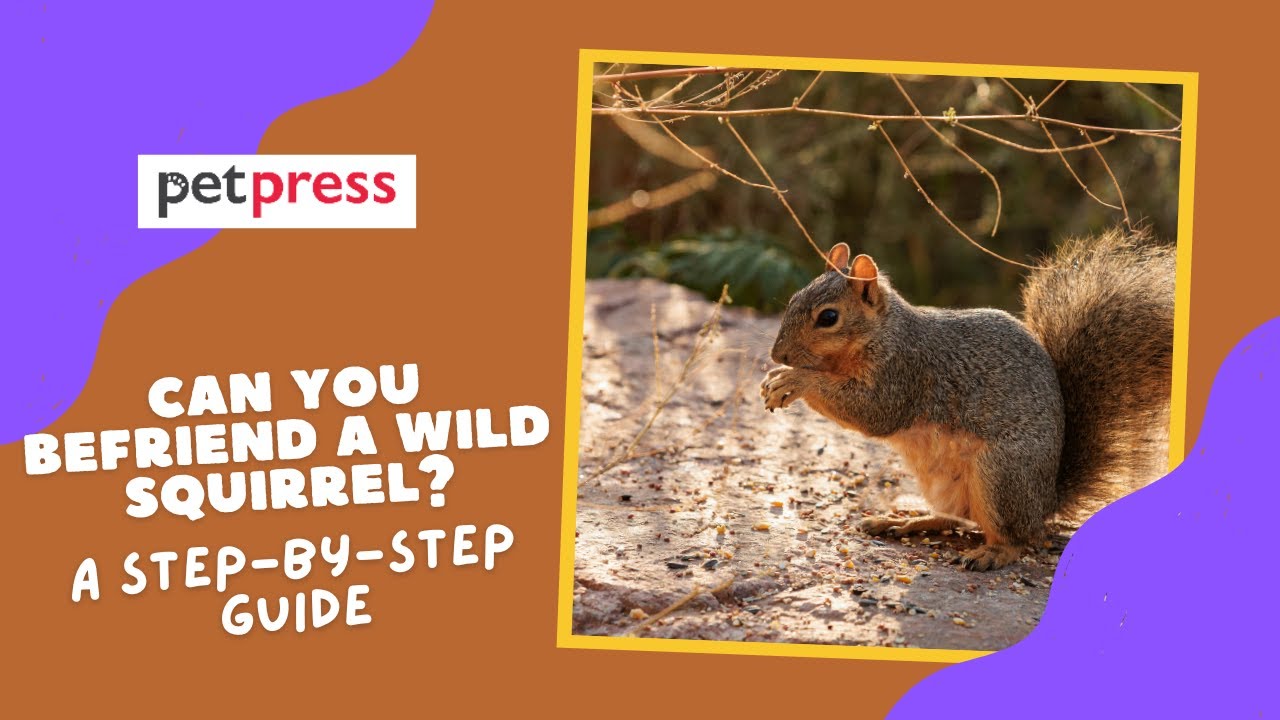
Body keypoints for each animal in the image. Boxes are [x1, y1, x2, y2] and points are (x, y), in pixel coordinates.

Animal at [760, 228, 1175, 570]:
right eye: (794, 298)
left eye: (828, 317)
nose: (778, 354)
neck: (882, 332)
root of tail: (1045, 502)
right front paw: (776, 378)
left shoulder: (904, 374)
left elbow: (873, 412)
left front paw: (793, 379)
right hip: (947, 484)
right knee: (956, 517)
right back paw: (904, 521)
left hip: (1001, 475)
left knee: (1018, 538)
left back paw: (992, 553)